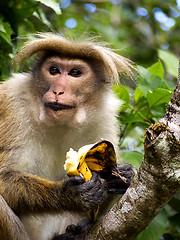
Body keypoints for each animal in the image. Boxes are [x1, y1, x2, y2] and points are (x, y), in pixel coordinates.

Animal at [0, 32, 135, 239]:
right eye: (54, 70)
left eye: (75, 73)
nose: (58, 90)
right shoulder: (12, 102)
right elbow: (3, 177)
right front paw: (70, 194)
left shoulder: (104, 116)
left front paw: (123, 175)